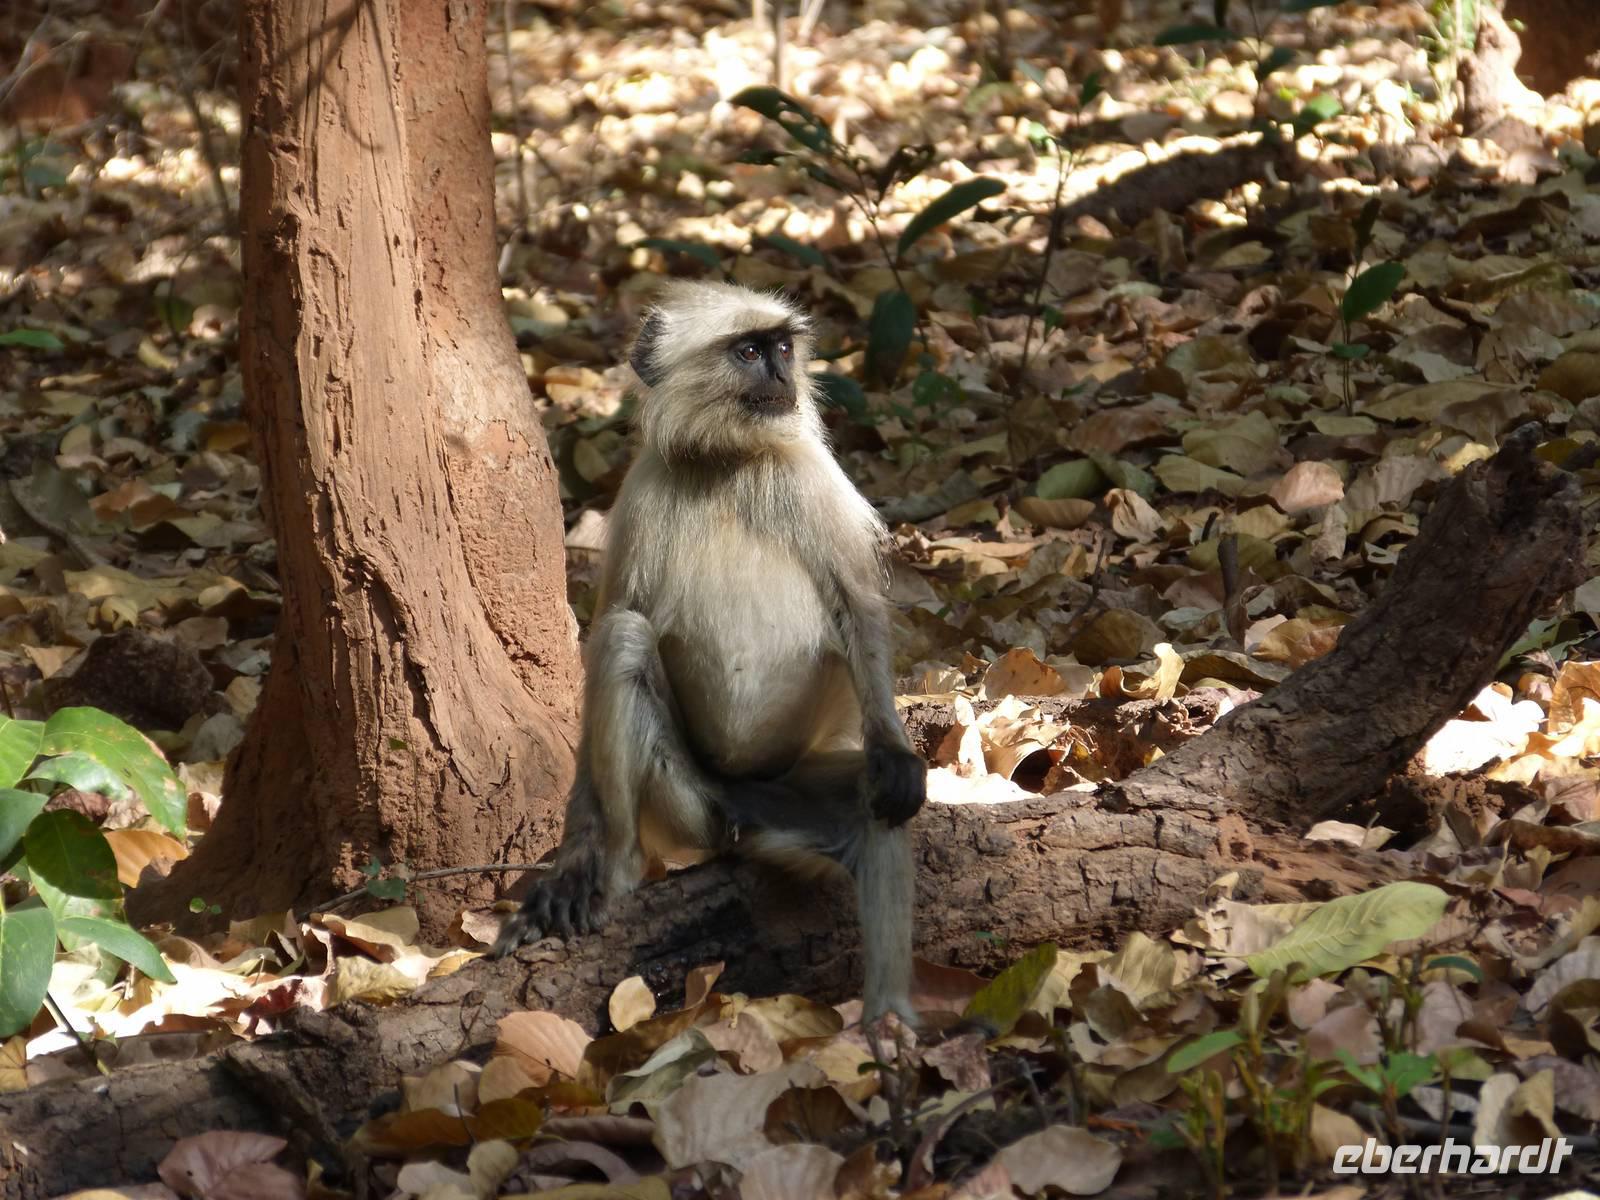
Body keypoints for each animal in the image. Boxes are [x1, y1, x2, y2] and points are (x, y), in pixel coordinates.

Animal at [493, 280, 925, 1024]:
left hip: (792, 790)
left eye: (782, 347)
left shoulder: (811, 478)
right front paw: (573, 862)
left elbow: (860, 613)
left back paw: (889, 1022)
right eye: (749, 352)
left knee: (875, 805)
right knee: (624, 638)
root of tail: (741, 806)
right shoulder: (640, 494)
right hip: (691, 803)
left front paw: (896, 752)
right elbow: (612, 627)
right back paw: (616, 868)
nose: (782, 373)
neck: (729, 462)